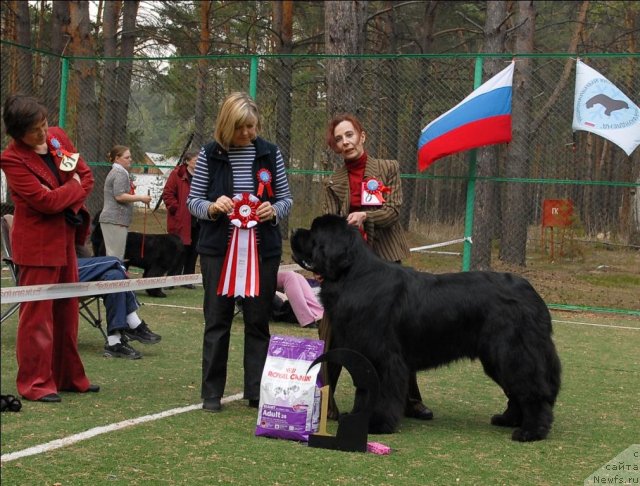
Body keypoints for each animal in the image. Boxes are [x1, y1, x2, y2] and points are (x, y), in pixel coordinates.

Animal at [292, 215, 564, 442]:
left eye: (313, 232)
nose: (294, 230)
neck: (352, 276)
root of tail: (532, 294)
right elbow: (365, 391)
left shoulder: (385, 357)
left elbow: (382, 393)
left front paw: (377, 424)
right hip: (497, 358)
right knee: (517, 391)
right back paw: (509, 420)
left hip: (512, 353)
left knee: (533, 391)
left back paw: (531, 431)